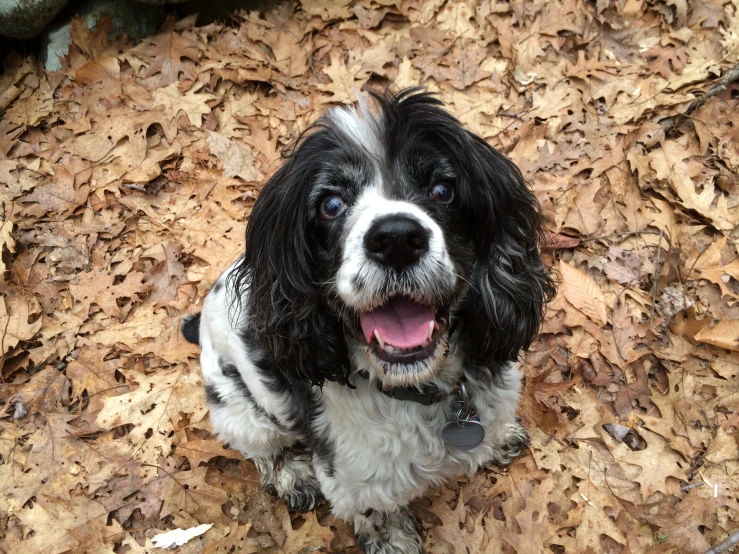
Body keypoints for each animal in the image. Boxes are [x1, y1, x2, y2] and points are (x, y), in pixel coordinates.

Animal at [184, 88, 556, 548]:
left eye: (442, 189)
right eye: (330, 204)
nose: (396, 238)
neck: (419, 390)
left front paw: (500, 435)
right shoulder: (355, 477)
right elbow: (376, 512)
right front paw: (393, 542)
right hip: (238, 411)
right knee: (266, 446)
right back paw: (291, 474)